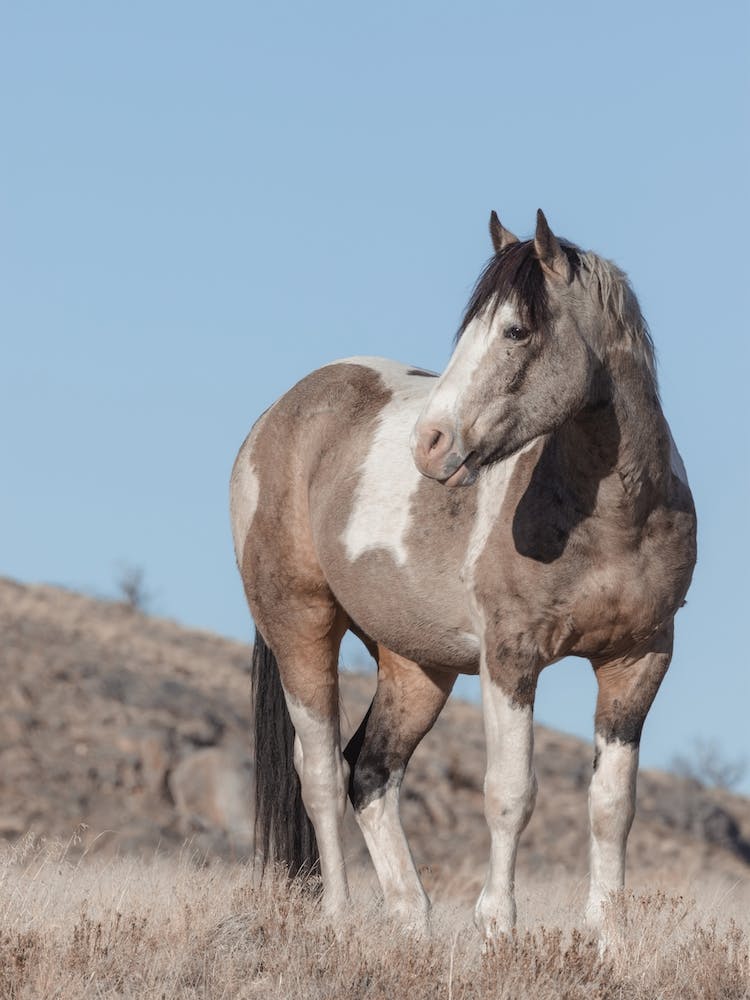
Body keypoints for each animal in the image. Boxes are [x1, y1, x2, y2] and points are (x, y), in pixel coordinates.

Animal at [230, 209, 696, 938]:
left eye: (516, 330)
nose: (430, 445)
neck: (613, 519)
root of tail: (275, 418)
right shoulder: (511, 658)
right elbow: (510, 794)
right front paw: (498, 929)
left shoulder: (638, 660)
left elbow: (612, 804)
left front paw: (605, 937)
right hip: (301, 629)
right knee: (323, 776)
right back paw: (338, 920)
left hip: (417, 666)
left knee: (371, 772)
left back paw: (412, 925)